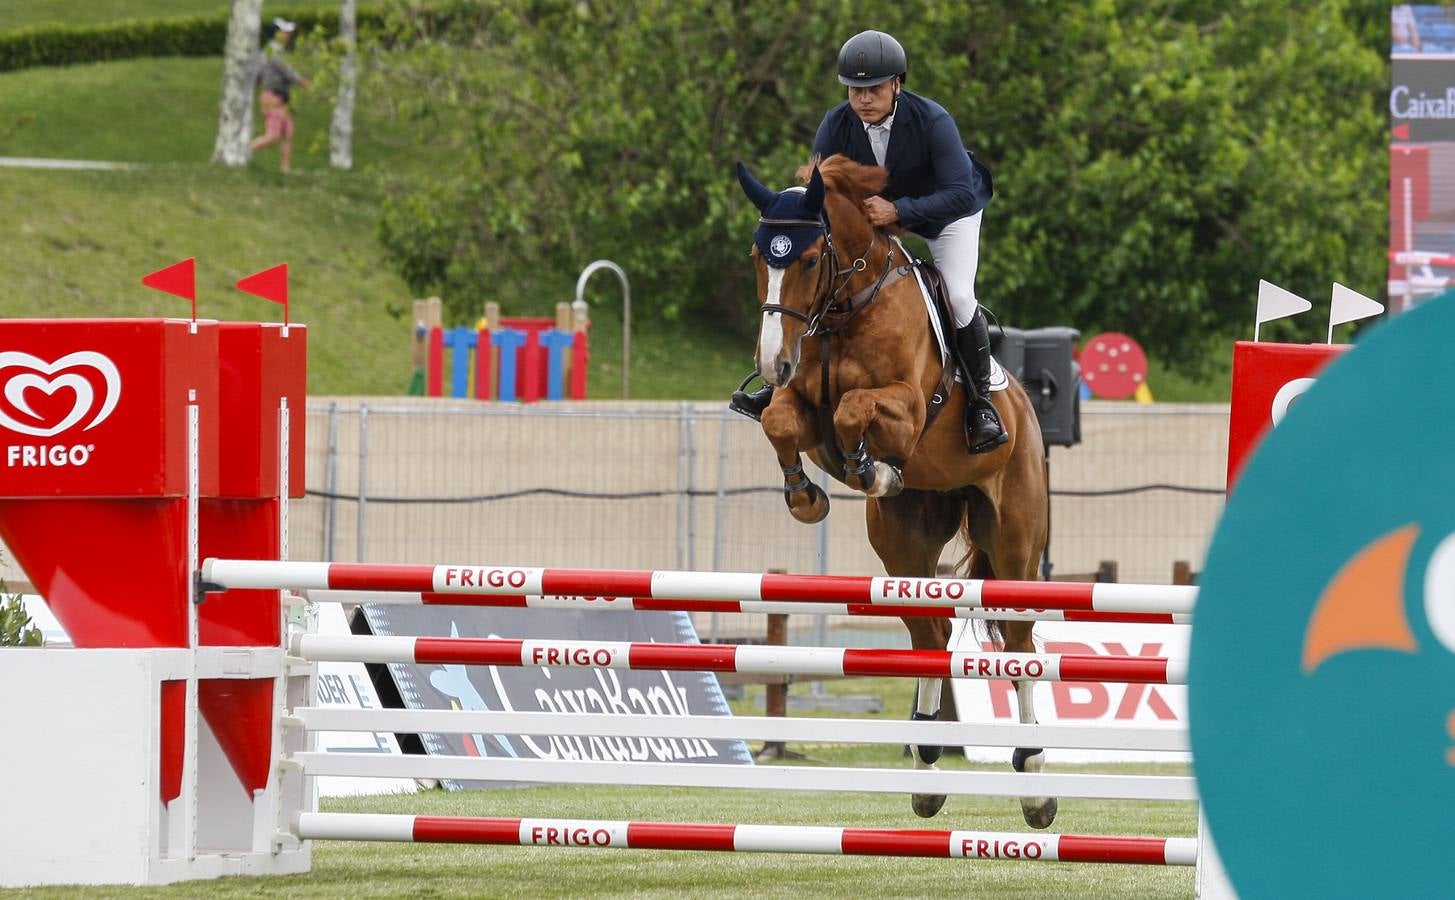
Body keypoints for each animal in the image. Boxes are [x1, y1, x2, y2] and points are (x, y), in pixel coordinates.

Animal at [739, 154, 1059, 831]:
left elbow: (855, 410)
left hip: (1015, 541)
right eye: (758, 255)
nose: (774, 361)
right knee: (929, 637)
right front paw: (807, 496)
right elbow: (781, 419)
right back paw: (927, 772)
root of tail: (1026, 408)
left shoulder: (907, 411)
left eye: (810, 258)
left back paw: (1035, 785)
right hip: (904, 543)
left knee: (1019, 645)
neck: (844, 309)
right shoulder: (798, 404)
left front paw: (871, 466)